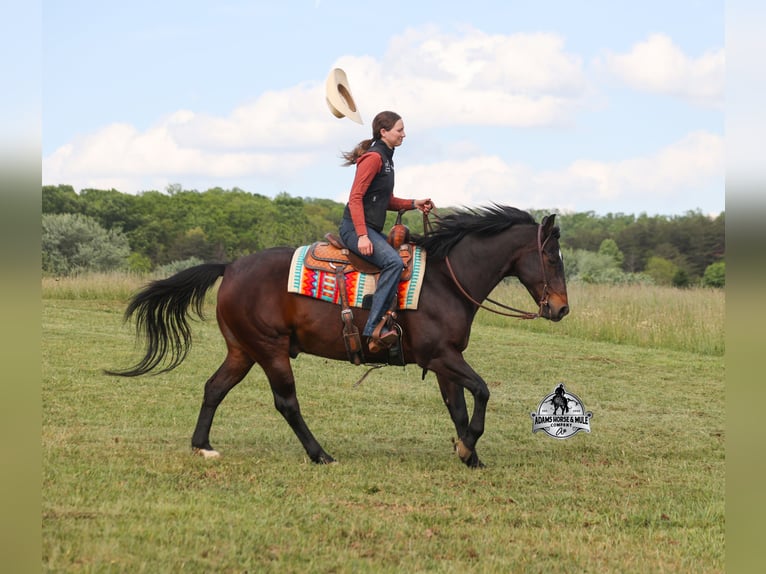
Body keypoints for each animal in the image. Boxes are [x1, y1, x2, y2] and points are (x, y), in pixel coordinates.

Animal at [107, 205, 569, 467]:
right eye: (550, 256)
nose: (561, 308)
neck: (445, 280)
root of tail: (231, 266)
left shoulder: (444, 361)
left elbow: (458, 406)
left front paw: (470, 456)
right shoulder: (441, 355)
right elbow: (483, 391)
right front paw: (468, 447)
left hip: (243, 350)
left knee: (213, 388)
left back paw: (202, 445)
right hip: (271, 350)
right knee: (286, 403)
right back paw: (320, 454)